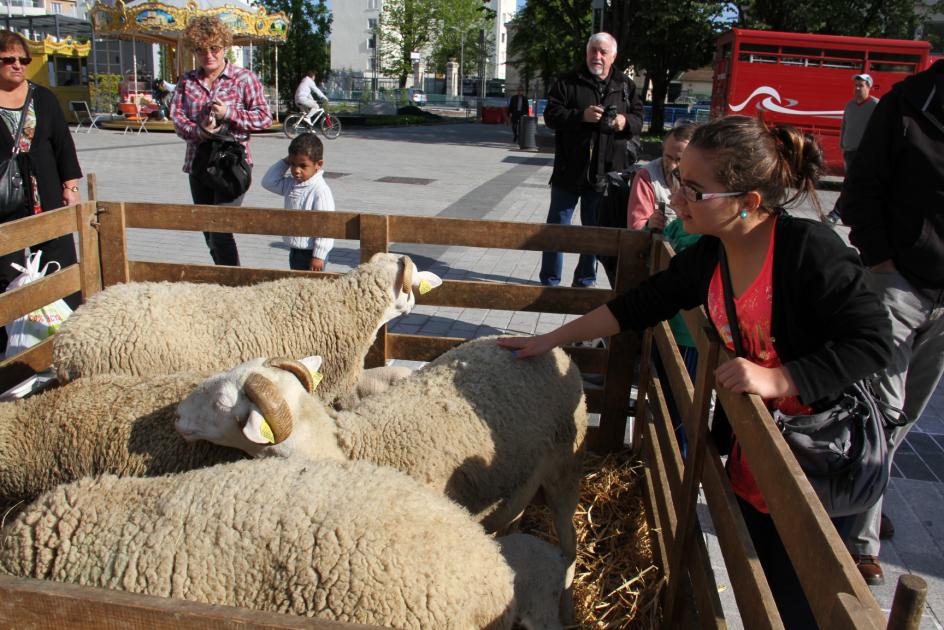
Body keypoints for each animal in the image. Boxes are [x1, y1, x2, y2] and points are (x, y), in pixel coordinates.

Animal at [176, 340, 588, 592]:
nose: (177, 413)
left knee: (568, 535)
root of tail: (554, 348)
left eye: (221, 403)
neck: (352, 447)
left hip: (565, 467)